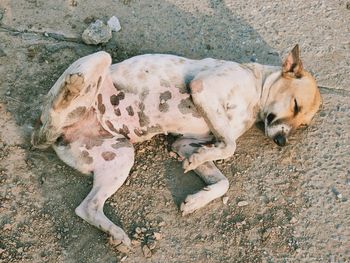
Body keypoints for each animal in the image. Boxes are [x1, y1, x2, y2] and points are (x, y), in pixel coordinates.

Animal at [31, 44, 322, 249]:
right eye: (295, 105)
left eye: (302, 124)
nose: (282, 142)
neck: (256, 92)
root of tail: (48, 133)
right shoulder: (204, 89)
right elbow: (229, 145)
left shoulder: (185, 143)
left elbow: (222, 179)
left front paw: (197, 198)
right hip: (100, 59)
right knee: (58, 108)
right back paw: (71, 89)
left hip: (121, 156)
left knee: (88, 207)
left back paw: (116, 235)